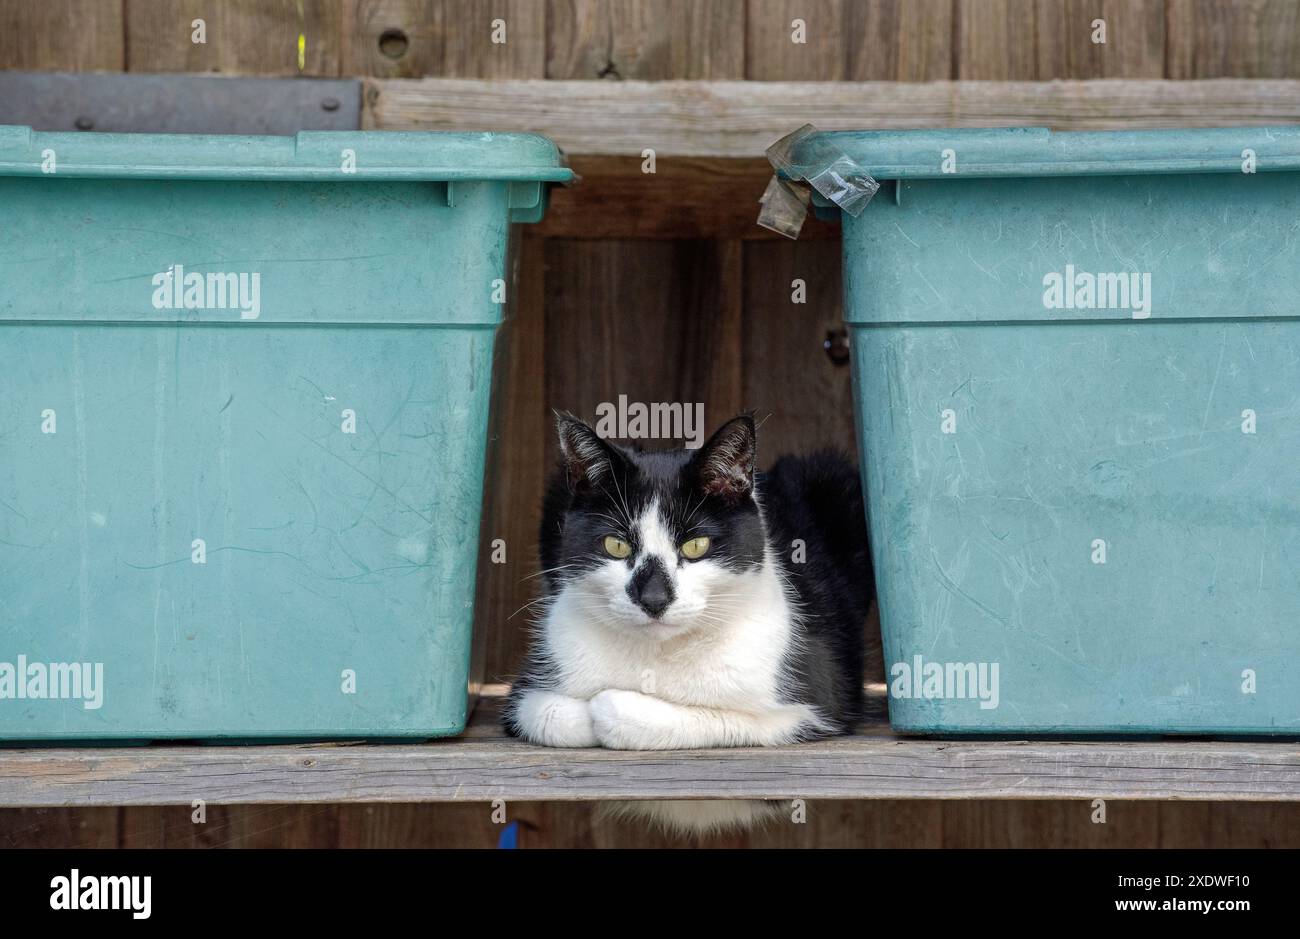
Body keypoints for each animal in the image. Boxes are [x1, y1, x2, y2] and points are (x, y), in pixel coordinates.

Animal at [506, 413, 873, 832]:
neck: (659, 654)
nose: (653, 598)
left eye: (696, 546)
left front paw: (610, 707)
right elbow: (546, 713)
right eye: (616, 545)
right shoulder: (529, 687)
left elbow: (723, 718)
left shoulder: (815, 705)